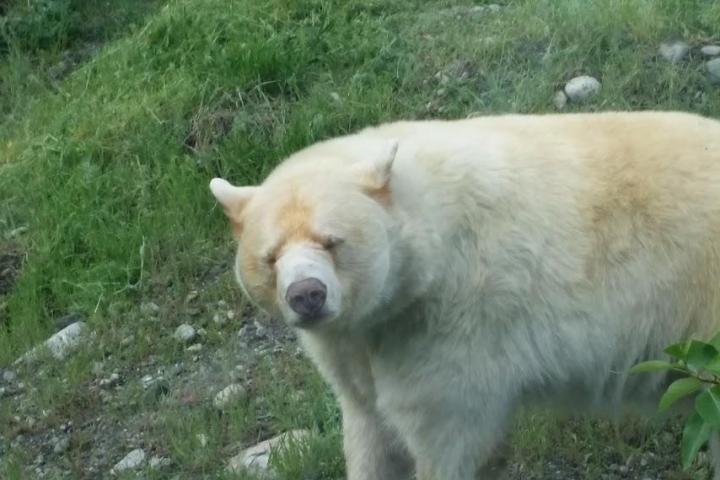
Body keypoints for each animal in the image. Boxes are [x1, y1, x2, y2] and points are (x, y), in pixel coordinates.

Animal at [211, 110, 720, 478]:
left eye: (333, 241)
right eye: (271, 255)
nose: (307, 295)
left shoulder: (450, 326)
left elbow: (446, 434)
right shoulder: (357, 344)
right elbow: (369, 426)